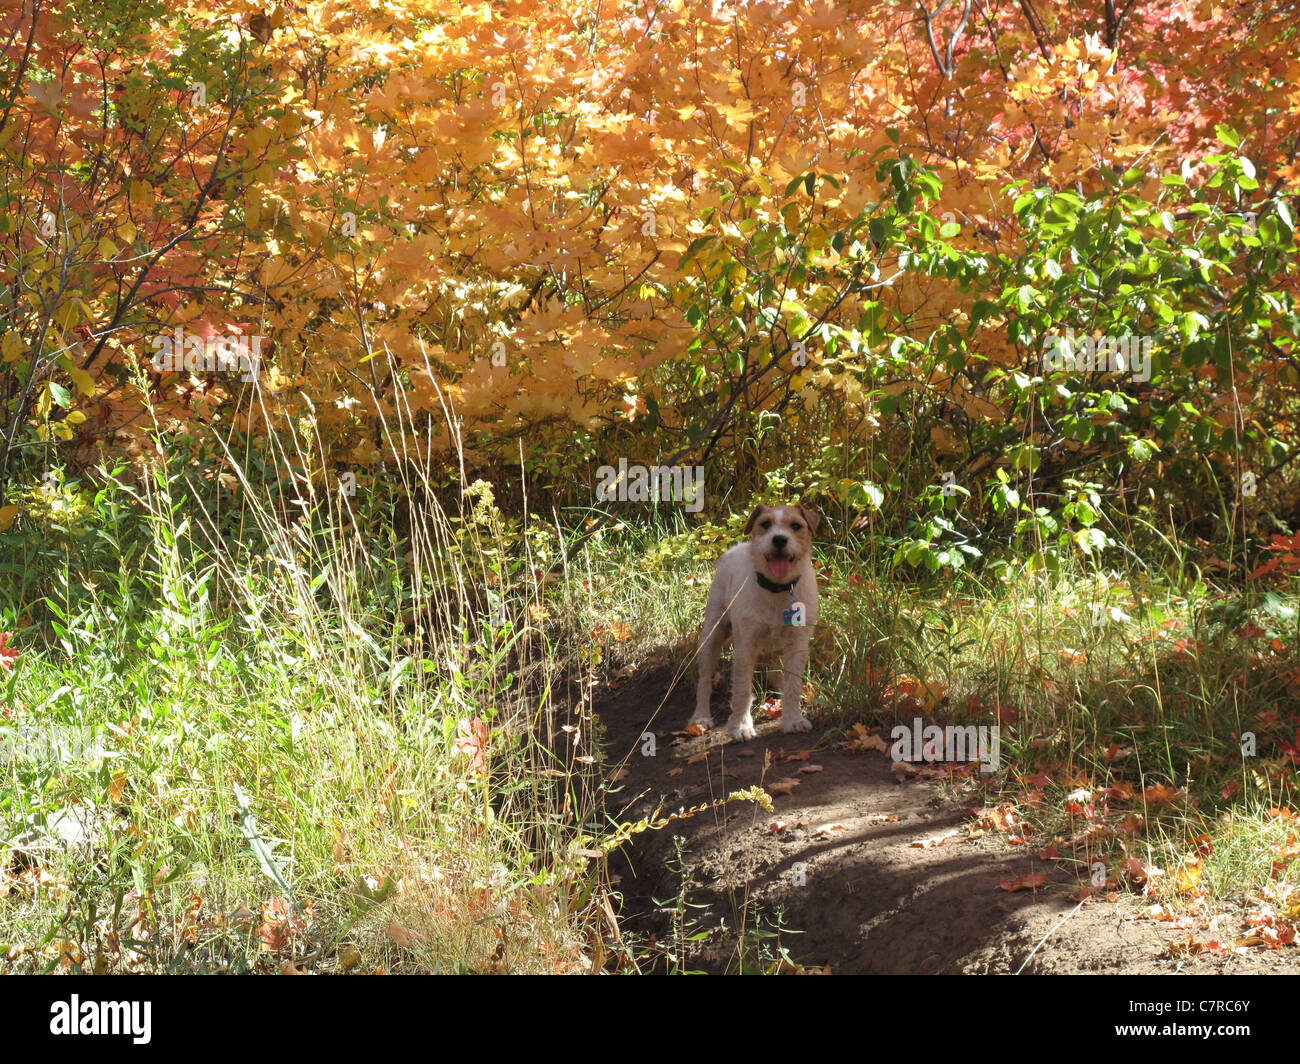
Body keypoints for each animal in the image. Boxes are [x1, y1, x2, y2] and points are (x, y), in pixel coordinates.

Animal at [686, 504, 816, 738]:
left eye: (796, 526)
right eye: (765, 524)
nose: (779, 539)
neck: (777, 589)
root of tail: (736, 548)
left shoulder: (797, 646)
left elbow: (792, 686)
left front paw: (793, 719)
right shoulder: (745, 646)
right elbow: (742, 690)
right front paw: (741, 726)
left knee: (778, 676)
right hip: (712, 636)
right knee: (704, 680)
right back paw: (700, 717)